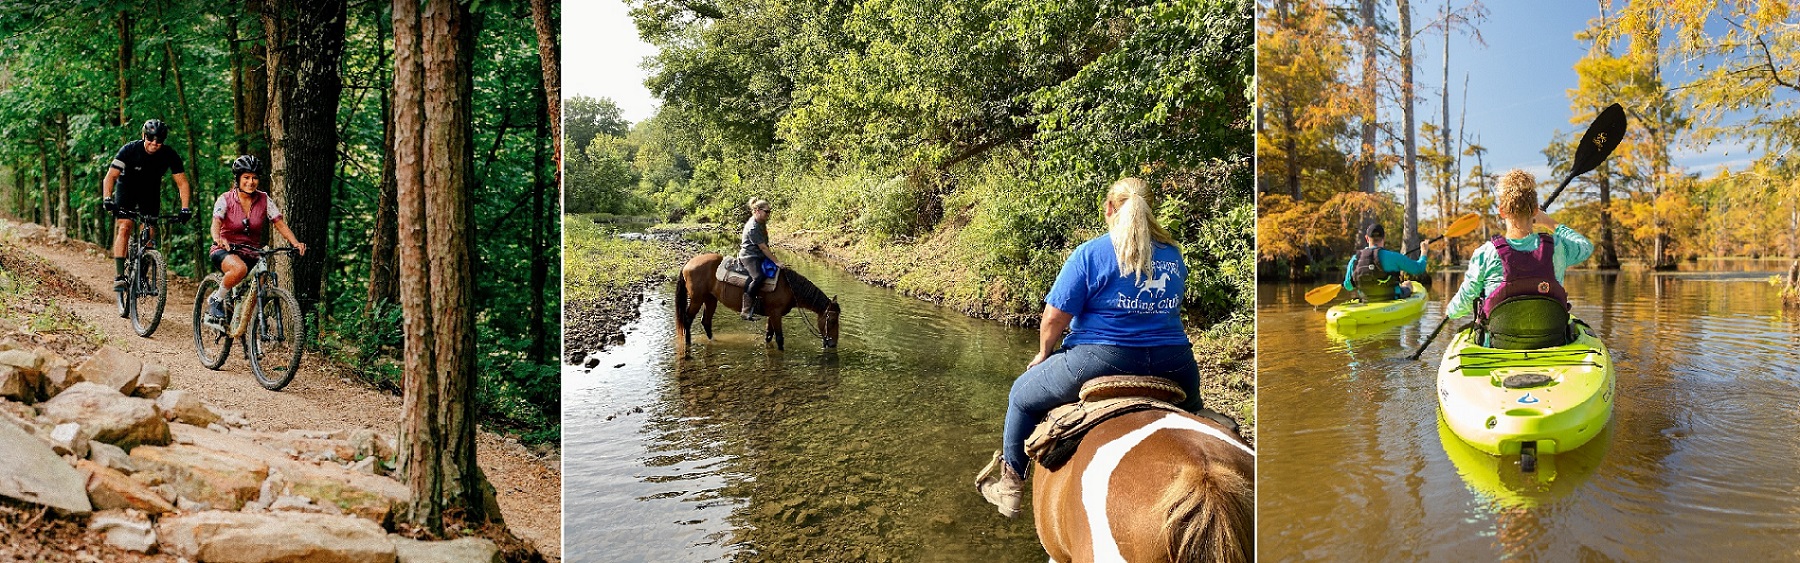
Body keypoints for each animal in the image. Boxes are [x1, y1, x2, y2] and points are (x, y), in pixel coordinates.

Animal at [676, 251, 838, 350]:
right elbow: (779, 338)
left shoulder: (772, 314)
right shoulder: (776, 314)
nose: (833, 344)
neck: (789, 288)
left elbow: (768, 336)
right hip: (697, 299)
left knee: (706, 321)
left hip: (710, 299)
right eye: (832, 320)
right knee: (687, 319)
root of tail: (688, 263)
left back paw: (713, 341)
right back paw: (688, 343)